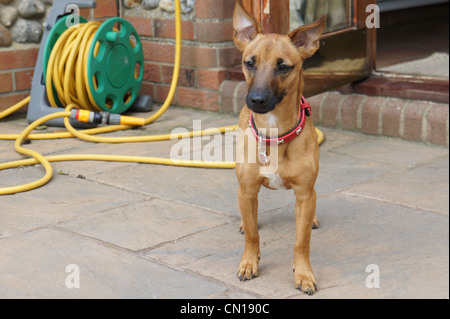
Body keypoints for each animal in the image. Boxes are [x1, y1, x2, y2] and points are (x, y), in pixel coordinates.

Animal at [234, 0, 326, 296]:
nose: (257, 100)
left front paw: (304, 274)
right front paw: (249, 262)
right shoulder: (247, 190)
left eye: (283, 67)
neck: (275, 134)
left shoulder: (306, 194)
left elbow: (301, 241)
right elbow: (254, 234)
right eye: (249, 63)